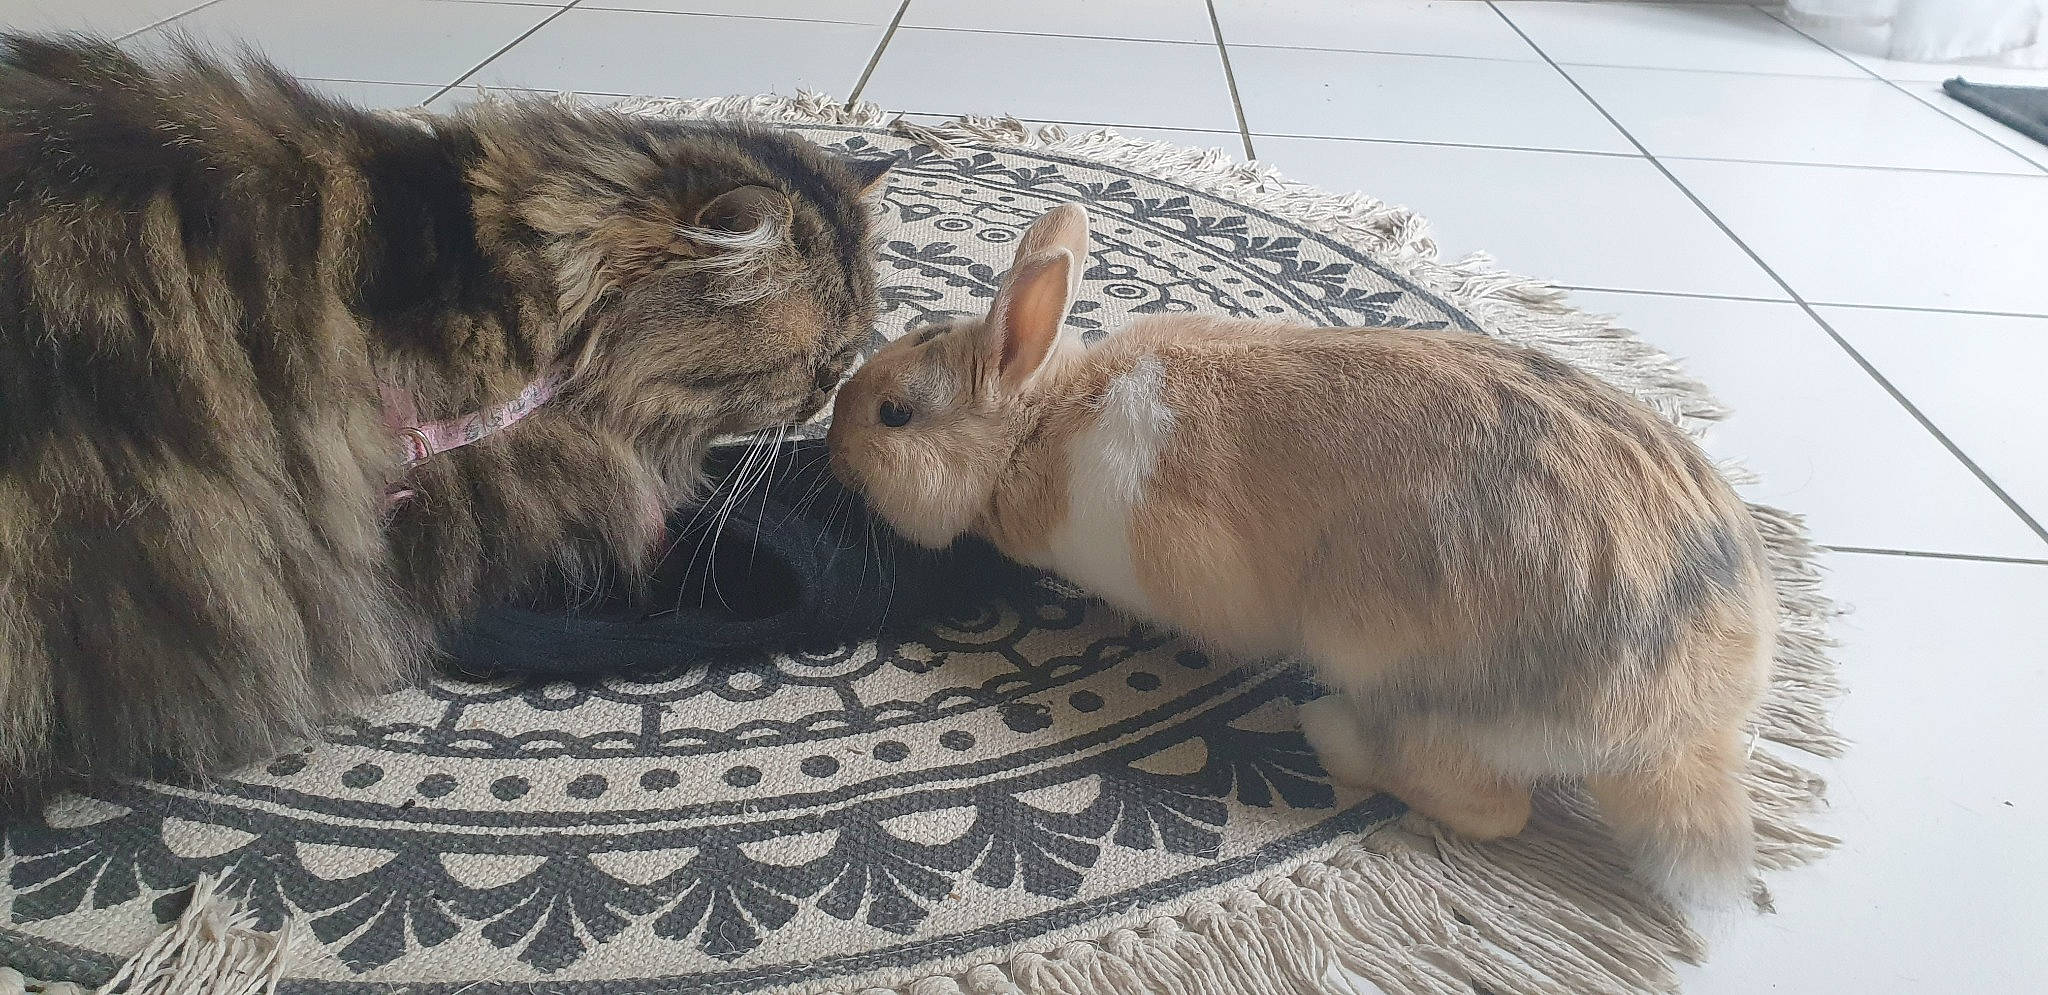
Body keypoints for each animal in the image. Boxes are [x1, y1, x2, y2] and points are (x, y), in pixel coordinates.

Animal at [826, 203, 1775, 910]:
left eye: (895, 415)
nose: (830, 438)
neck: (1044, 424)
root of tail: (1681, 723)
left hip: (1401, 669)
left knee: (1489, 804)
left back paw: (1328, 733)